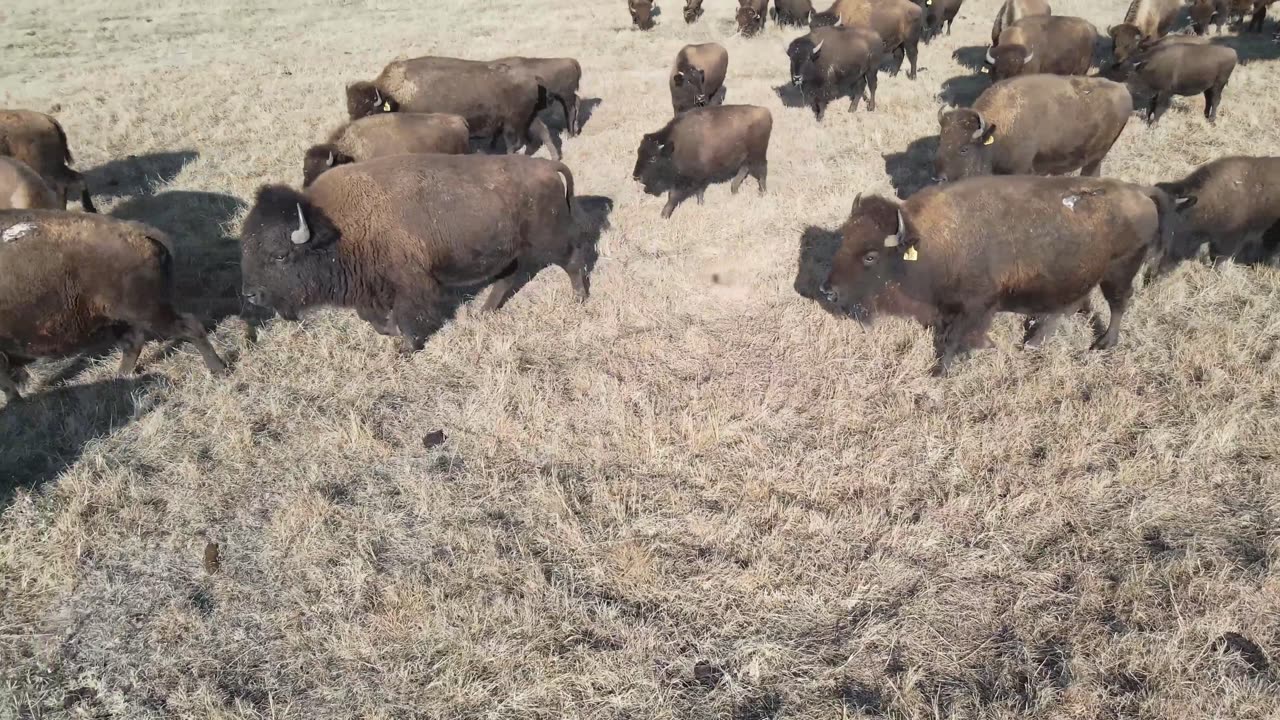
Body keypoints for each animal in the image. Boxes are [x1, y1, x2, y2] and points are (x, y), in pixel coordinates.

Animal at [0, 211, 227, 401]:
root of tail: (141, 233)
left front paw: (15, 403)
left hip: (147, 312)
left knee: (189, 327)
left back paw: (218, 369)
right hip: (120, 317)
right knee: (133, 342)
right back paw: (120, 378)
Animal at [240, 154, 586, 352]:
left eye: (280, 255)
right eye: (246, 247)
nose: (251, 295)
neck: (334, 226)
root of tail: (547, 165)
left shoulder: (410, 283)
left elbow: (407, 315)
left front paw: (406, 347)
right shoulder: (369, 287)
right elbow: (372, 318)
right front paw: (391, 334)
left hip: (548, 239)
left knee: (573, 259)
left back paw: (579, 300)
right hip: (508, 249)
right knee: (509, 276)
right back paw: (485, 311)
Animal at [346, 57, 559, 161]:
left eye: (369, 112)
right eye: (350, 112)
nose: (354, 133)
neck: (399, 94)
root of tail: (532, 77)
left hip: (514, 123)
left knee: (516, 143)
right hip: (528, 117)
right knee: (542, 131)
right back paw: (555, 157)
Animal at [632, 105, 772, 219]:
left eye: (653, 158)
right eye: (639, 152)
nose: (636, 176)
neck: (675, 145)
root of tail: (765, 112)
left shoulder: (685, 179)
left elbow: (673, 195)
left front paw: (664, 215)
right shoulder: (699, 176)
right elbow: (699, 191)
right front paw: (700, 204)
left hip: (758, 155)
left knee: (762, 171)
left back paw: (762, 193)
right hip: (747, 156)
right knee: (745, 169)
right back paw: (734, 190)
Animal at [818, 177, 1188, 374]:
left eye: (870, 255)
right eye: (843, 238)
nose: (827, 290)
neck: (929, 240)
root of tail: (1140, 191)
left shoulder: (977, 305)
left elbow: (954, 338)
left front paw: (941, 370)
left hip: (1119, 271)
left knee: (1118, 304)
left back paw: (1104, 343)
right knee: (1070, 306)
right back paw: (1036, 340)